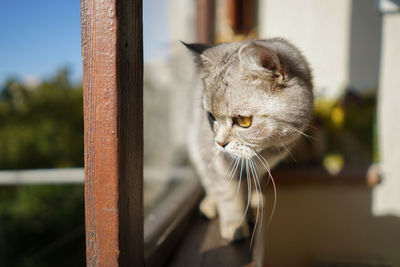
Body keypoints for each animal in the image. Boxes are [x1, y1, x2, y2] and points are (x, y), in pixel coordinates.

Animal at [184, 38, 312, 267]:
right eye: (210, 116)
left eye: (243, 121)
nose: (219, 143)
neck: (263, 152)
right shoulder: (217, 162)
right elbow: (228, 193)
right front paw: (235, 226)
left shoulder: (262, 167)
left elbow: (252, 182)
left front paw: (253, 203)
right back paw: (211, 205)